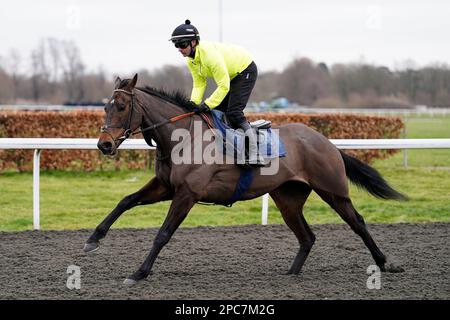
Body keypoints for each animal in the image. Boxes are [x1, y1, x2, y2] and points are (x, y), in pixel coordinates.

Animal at [84, 74, 408, 284]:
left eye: (121, 107)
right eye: (105, 107)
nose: (104, 145)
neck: (183, 138)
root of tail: (326, 141)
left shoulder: (187, 193)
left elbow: (163, 233)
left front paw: (139, 273)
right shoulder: (165, 186)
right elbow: (125, 201)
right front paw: (92, 239)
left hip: (333, 190)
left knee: (358, 223)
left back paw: (385, 263)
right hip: (288, 198)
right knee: (307, 236)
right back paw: (291, 273)